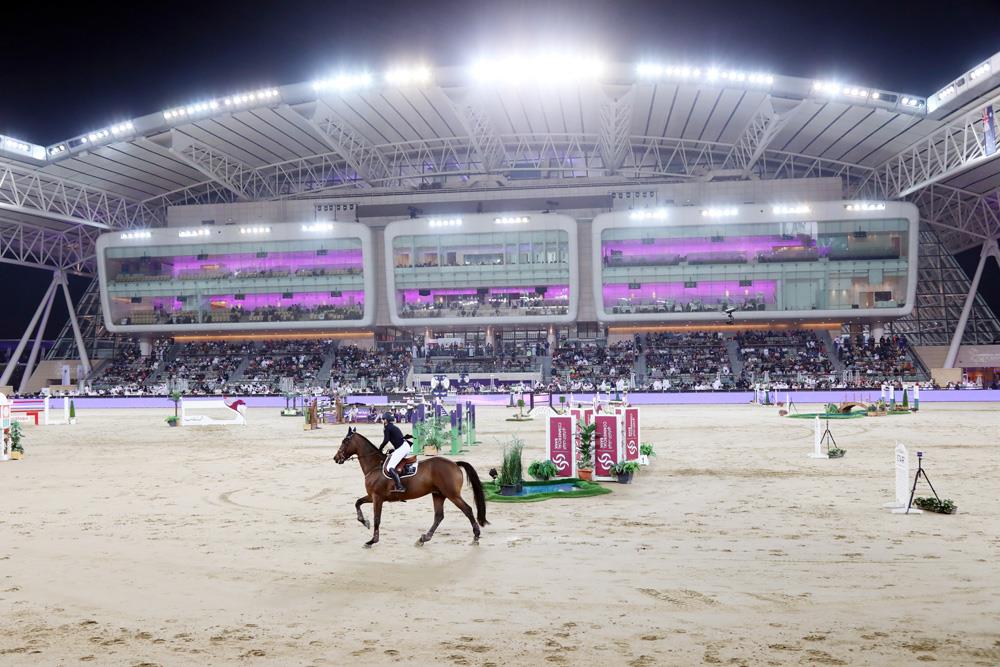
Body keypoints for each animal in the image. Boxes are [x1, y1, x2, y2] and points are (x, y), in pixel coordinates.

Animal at [332, 428, 488, 548]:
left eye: (345, 441)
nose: (336, 458)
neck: (374, 466)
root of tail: (455, 464)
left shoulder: (377, 497)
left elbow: (377, 518)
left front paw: (372, 541)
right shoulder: (372, 496)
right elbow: (357, 502)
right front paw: (364, 522)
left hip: (452, 494)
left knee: (467, 510)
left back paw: (476, 537)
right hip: (438, 494)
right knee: (439, 516)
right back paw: (423, 539)